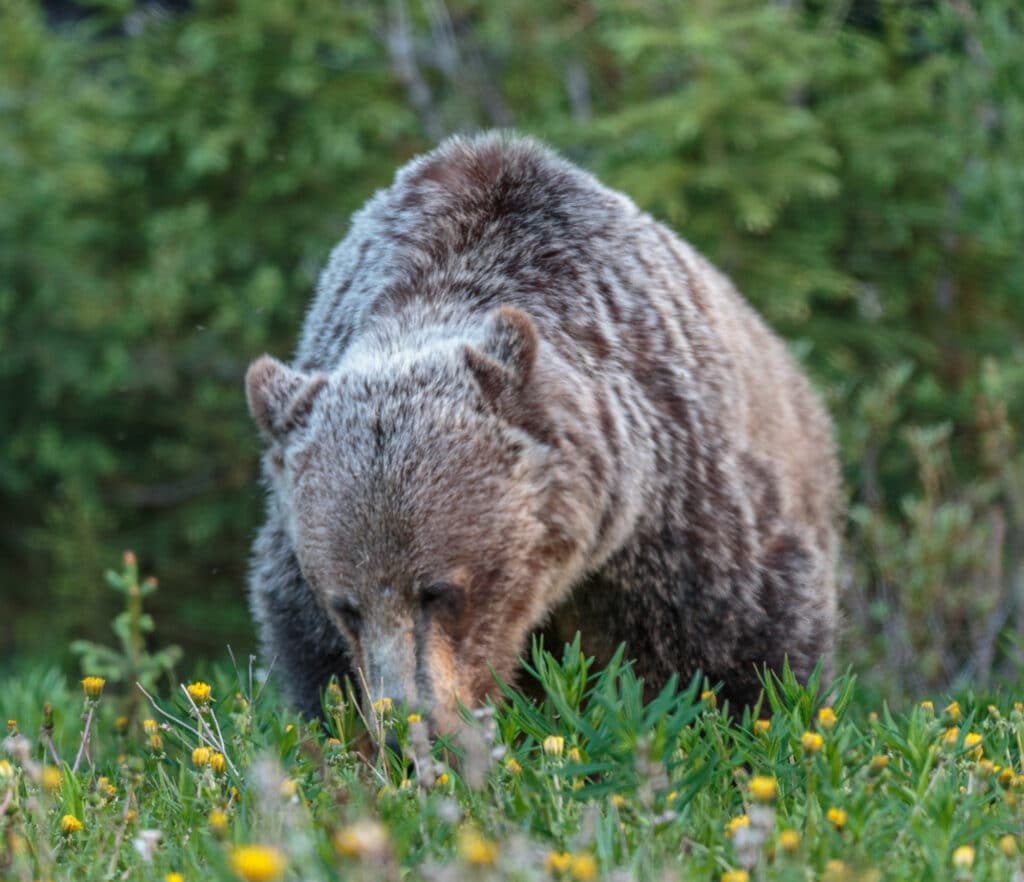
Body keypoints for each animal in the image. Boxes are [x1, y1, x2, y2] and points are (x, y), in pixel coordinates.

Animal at [245, 130, 839, 733]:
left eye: (440, 590)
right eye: (346, 604)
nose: (411, 722)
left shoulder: (676, 504)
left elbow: (735, 642)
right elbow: (316, 666)